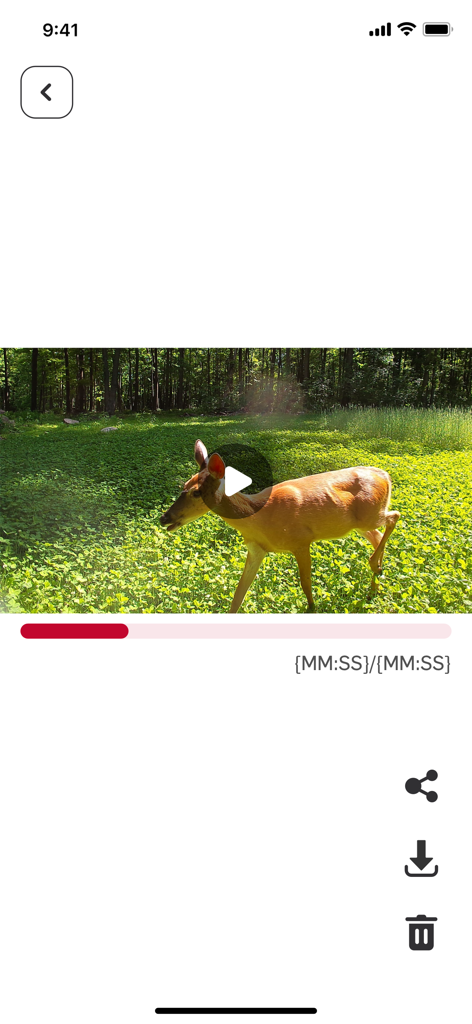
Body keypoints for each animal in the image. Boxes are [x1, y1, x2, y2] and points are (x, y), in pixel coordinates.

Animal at [160, 440, 400, 613]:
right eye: (184, 485)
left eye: (196, 492)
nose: (164, 518)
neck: (259, 519)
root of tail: (385, 475)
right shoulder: (256, 549)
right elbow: (238, 596)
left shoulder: (301, 540)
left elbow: (306, 584)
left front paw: (312, 609)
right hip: (359, 524)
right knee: (377, 536)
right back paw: (375, 584)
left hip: (371, 514)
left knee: (394, 516)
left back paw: (375, 567)